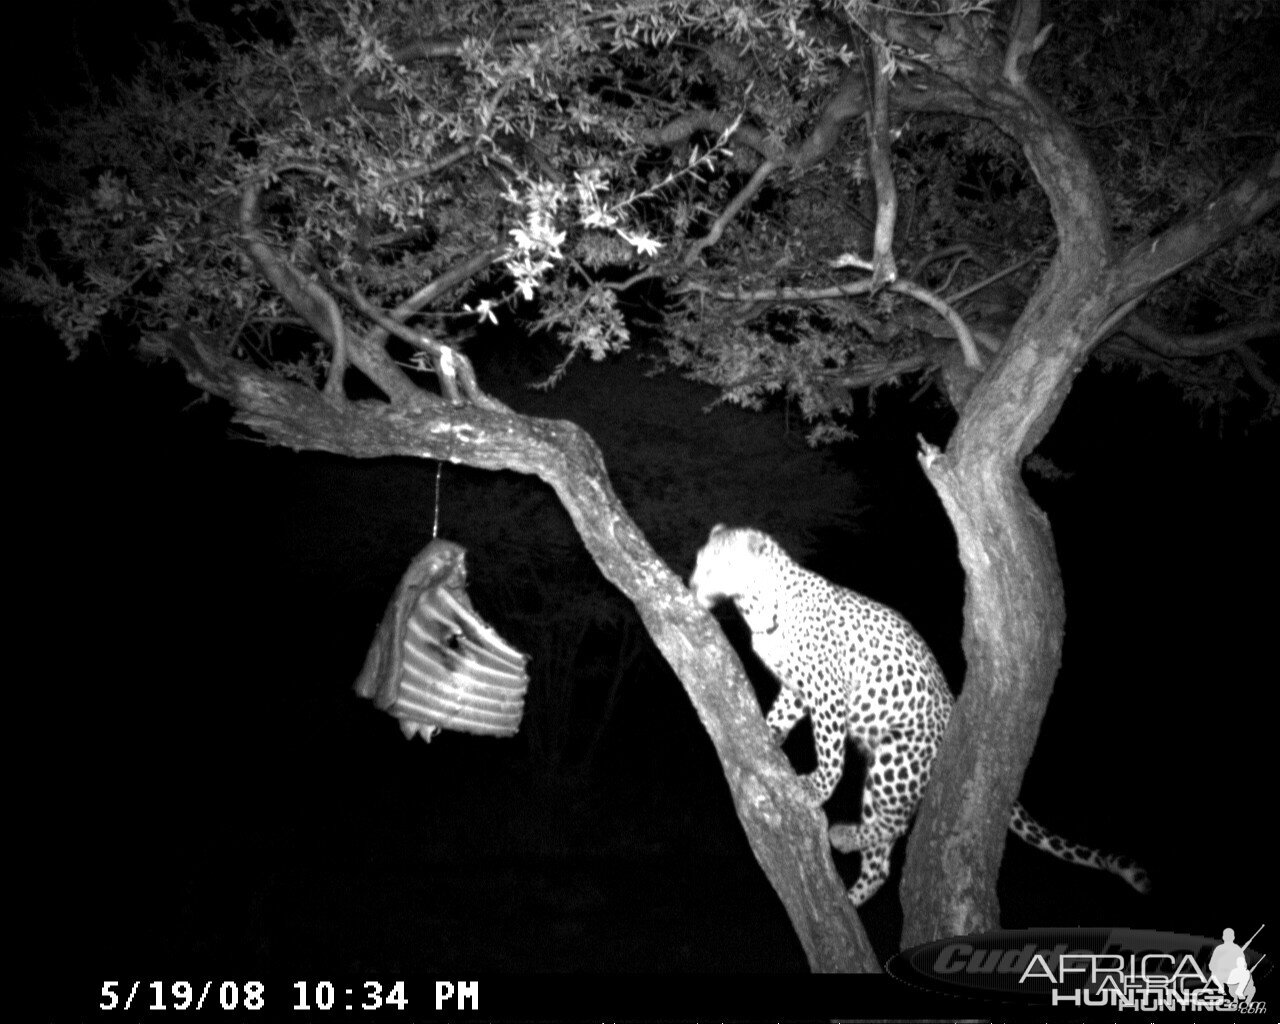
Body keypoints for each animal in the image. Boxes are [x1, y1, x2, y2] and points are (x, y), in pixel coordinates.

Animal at [691, 524, 1152, 906]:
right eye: (699, 561)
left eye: (721, 565)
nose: (693, 584)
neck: (756, 606)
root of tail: (951, 716)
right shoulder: (798, 689)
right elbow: (781, 714)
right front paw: (765, 736)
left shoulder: (827, 692)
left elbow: (831, 751)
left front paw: (816, 788)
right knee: (881, 861)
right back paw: (850, 894)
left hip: (896, 760)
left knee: (892, 826)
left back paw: (842, 836)